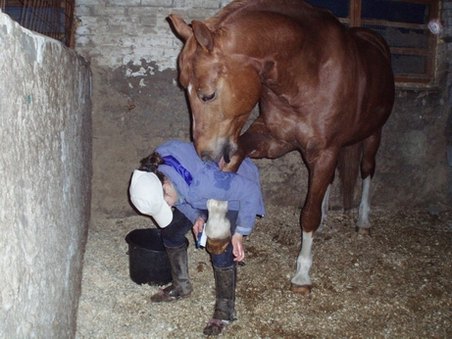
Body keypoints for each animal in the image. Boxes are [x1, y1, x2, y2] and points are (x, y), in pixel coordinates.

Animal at [168, 0, 394, 294]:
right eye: (183, 87)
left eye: (208, 95)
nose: (205, 154)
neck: (310, 71)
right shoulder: (273, 139)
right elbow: (230, 168)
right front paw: (217, 230)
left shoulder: (324, 152)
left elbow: (307, 215)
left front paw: (302, 273)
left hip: (372, 134)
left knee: (367, 170)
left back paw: (363, 221)